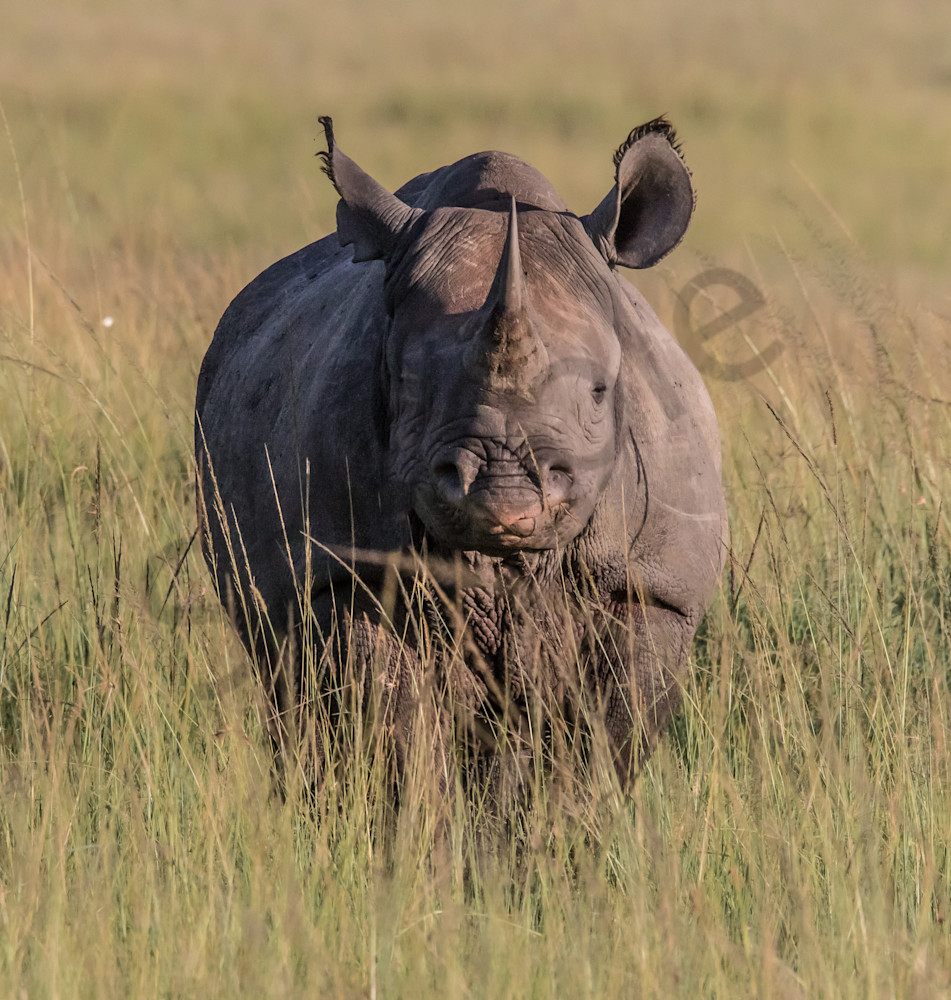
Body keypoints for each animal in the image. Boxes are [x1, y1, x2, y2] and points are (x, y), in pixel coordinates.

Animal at [195, 116, 726, 793]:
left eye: (600, 392)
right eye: (405, 386)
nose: (504, 497)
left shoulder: (651, 588)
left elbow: (602, 747)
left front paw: (570, 822)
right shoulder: (348, 575)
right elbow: (395, 738)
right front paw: (417, 822)